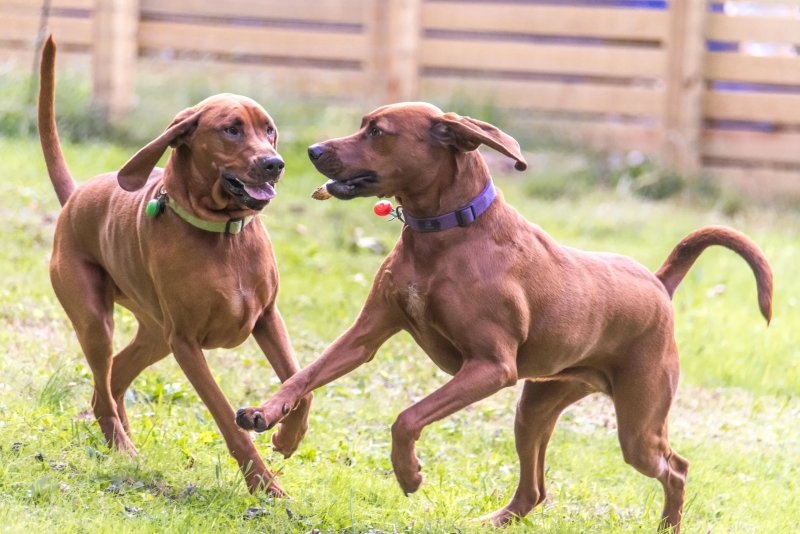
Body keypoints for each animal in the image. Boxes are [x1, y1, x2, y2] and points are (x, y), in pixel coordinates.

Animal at [39, 38, 310, 498]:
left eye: (269, 129)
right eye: (231, 129)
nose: (275, 164)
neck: (224, 235)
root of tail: (75, 197)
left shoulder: (268, 318)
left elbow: (300, 384)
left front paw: (286, 438)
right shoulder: (185, 343)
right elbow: (227, 420)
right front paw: (264, 485)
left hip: (154, 335)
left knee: (110, 383)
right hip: (97, 323)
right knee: (104, 388)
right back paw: (123, 449)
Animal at [234, 101, 772, 532]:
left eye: (378, 132)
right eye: (363, 124)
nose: (310, 151)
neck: (445, 233)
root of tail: (659, 283)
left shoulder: (491, 367)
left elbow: (407, 418)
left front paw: (409, 473)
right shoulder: (366, 334)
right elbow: (305, 375)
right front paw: (267, 415)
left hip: (638, 425)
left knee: (676, 468)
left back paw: (667, 525)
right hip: (537, 404)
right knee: (535, 489)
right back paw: (491, 521)